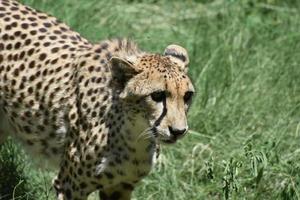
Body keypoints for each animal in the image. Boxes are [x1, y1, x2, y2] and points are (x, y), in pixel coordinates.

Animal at [0, 0, 195, 199]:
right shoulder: (68, 186)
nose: (179, 131)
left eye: (187, 96)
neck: (133, 134)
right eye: (157, 95)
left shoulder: (120, 186)